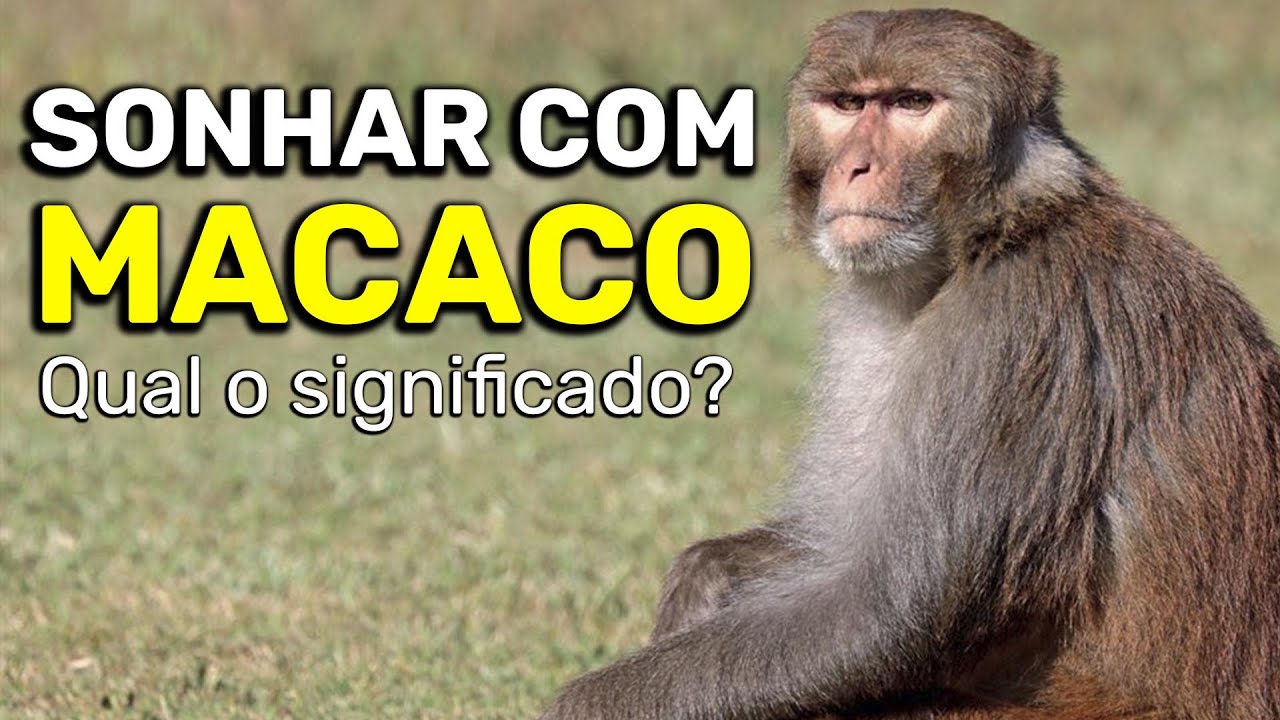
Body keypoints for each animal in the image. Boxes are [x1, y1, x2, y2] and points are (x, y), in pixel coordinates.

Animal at [539, 9, 1280, 720]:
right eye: (847, 104)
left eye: (912, 103)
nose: (856, 168)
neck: (989, 238)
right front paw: (704, 575)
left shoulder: (1015, 330)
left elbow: (885, 610)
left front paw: (584, 705)